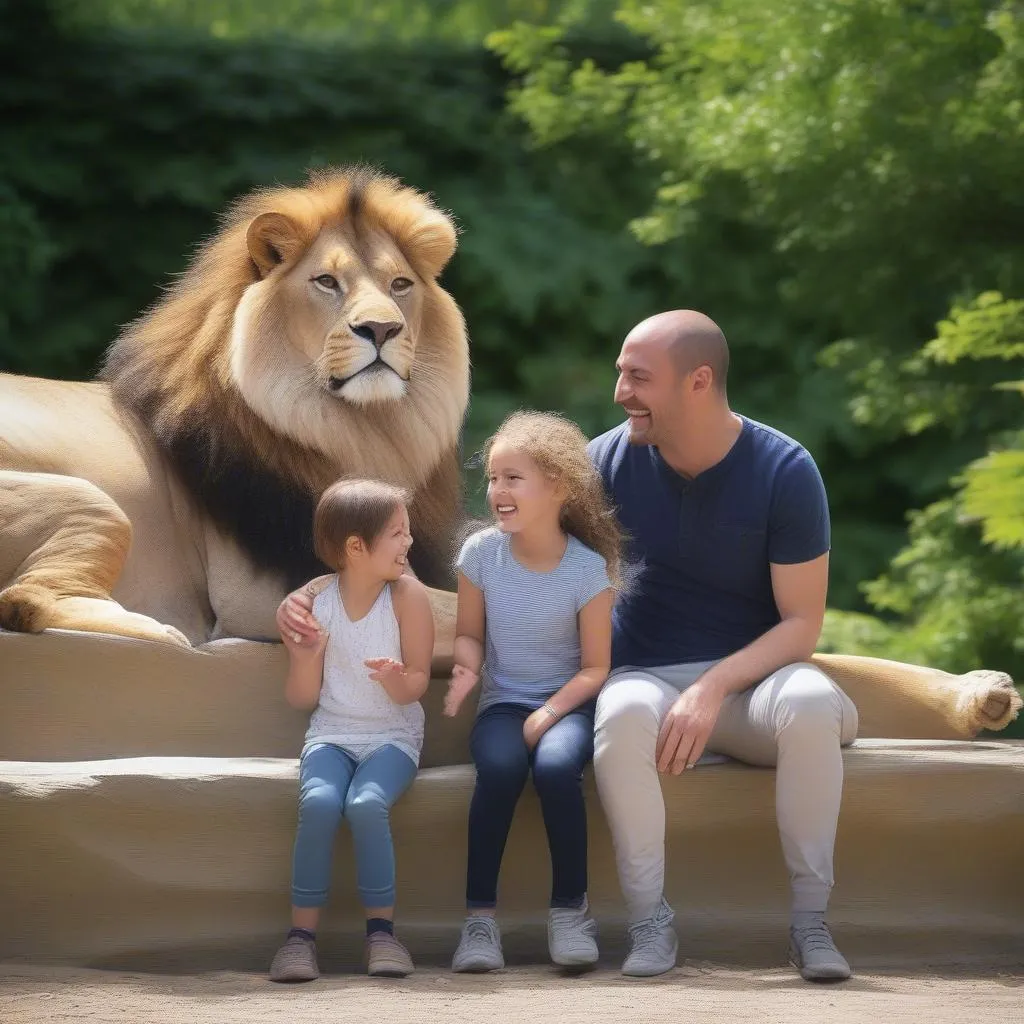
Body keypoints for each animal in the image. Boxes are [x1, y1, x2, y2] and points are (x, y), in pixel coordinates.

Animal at [0, 167, 468, 647]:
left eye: (400, 285)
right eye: (326, 281)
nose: (381, 328)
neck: (363, 431)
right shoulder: (263, 594)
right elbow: (448, 609)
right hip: (93, 503)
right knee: (26, 598)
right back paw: (161, 631)